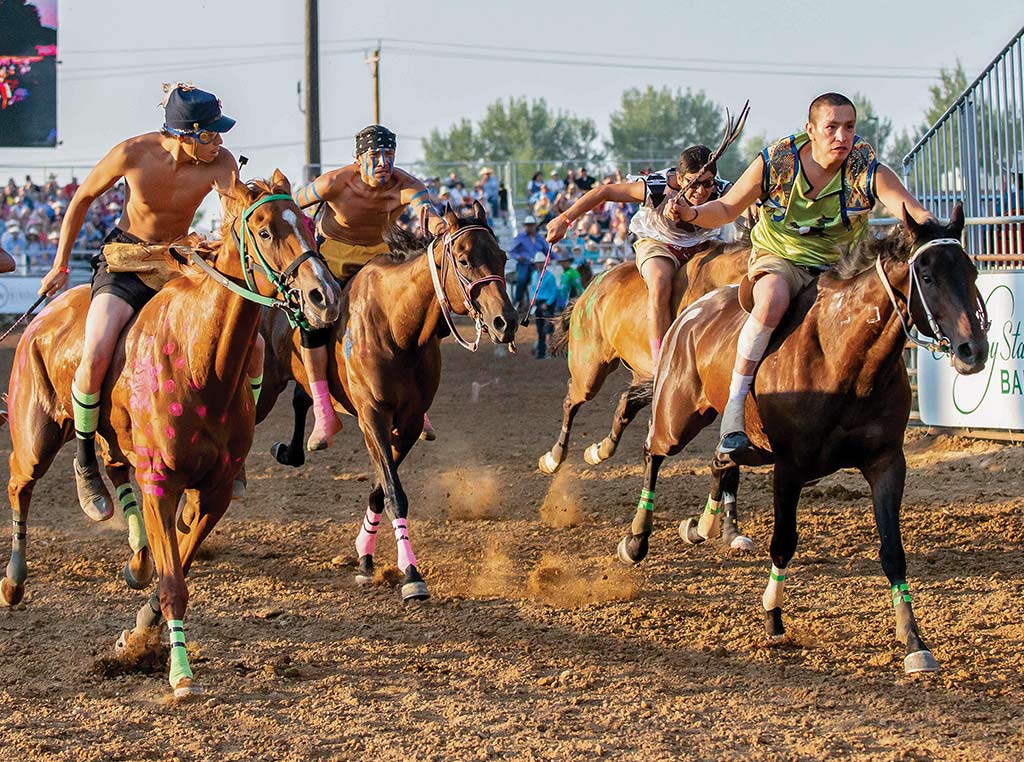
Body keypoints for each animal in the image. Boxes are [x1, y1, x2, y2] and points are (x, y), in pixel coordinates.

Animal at [2, 173, 342, 696]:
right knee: (21, 484)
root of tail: (42, 317)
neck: (199, 361)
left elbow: (178, 562)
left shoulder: (213, 492)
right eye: (265, 231)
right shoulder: (162, 483)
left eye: (309, 227)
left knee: (115, 473)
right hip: (36, 434)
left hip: (114, 443)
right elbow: (174, 585)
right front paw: (180, 673)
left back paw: (135, 554)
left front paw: (140, 630)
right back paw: (17, 577)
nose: (324, 296)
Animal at [252, 200, 516, 602]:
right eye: (464, 259)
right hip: (264, 386)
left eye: (502, 256)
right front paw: (411, 573)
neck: (395, 325)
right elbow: (394, 493)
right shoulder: (373, 417)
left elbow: (381, 492)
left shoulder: (407, 422)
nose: (507, 321)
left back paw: (301, 444)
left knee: (301, 399)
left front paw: (364, 555)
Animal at [610, 202, 987, 671]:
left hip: (750, 446)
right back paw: (636, 540)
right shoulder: (789, 469)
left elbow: (893, 553)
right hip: (678, 418)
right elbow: (783, 543)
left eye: (971, 271)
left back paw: (704, 525)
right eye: (929, 276)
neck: (843, 357)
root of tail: (692, 313)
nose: (974, 349)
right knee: (653, 452)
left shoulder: (887, 463)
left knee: (721, 458)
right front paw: (773, 617)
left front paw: (914, 642)